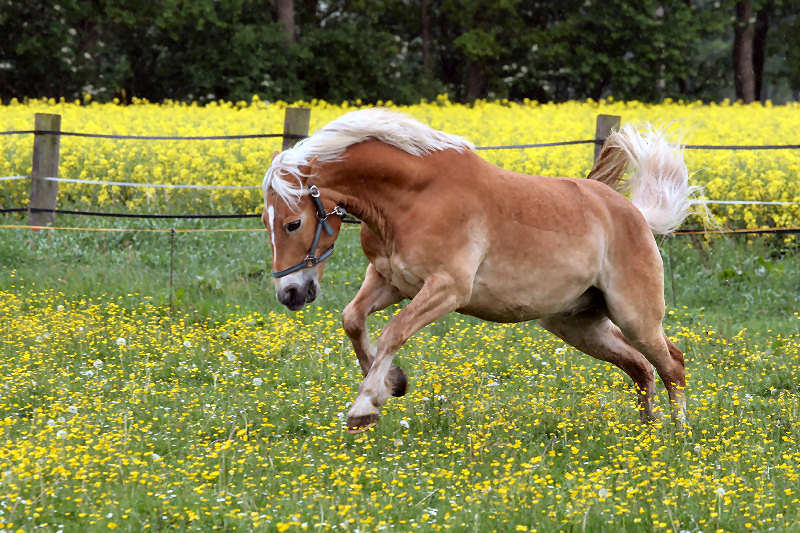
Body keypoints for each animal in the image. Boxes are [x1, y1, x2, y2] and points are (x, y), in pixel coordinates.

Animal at [260, 108, 700, 432]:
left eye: (293, 224)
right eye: (267, 222)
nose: (289, 294)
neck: (412, 198)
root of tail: (636, 214)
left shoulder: (448, 289)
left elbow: (393, 332)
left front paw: (365, 406)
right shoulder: (390, 282)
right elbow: (353, 319)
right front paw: (392, 383)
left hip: (634, 316)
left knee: (672, 363)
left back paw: (678, 436)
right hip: (576, 324)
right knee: (641, 367)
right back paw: (647, 432)